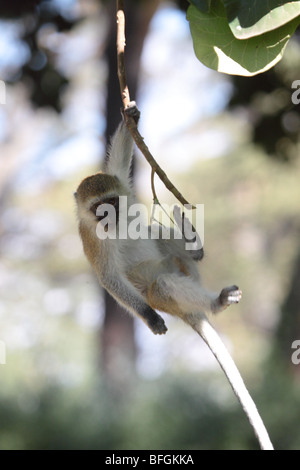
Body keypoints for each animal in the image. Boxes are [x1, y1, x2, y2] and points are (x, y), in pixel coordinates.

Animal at [74, 103, 274, 452]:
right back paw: (216, 302)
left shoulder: (121, 184)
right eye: (99, 208)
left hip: (181, 267)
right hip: (163, 294)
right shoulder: (92, 239)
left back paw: (195, 248)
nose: (110, 215)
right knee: (164, 284)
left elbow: (119, 163)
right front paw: (150, 319)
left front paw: (131, 116)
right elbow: (109, 279)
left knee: (159, 236)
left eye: (111, 202)